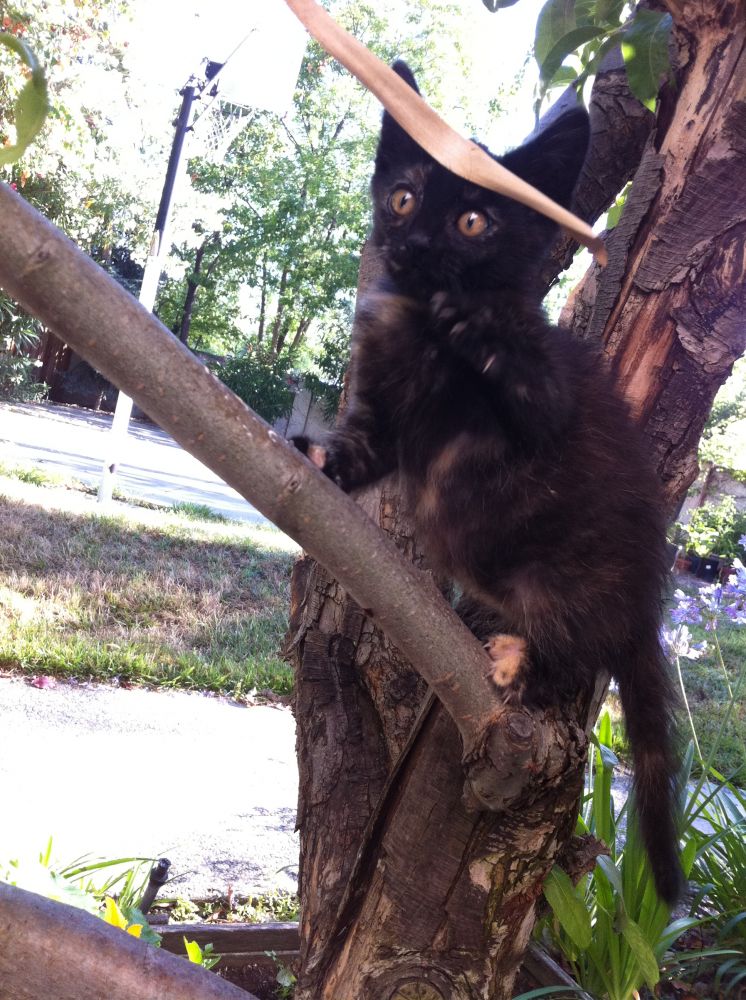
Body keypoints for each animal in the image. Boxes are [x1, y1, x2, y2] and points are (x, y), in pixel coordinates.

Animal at [293, 61, 683, 904]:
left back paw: (519, 660)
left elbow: (525, 378)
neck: (418, 327)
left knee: (575, 655)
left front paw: (476, 326)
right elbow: (361, 451)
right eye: (404, 197)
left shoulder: (551, 392)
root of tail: (644, 600)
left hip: (566, 580)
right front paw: (320, 461)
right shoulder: (377, 414)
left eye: (473, 222)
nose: (410, 244)